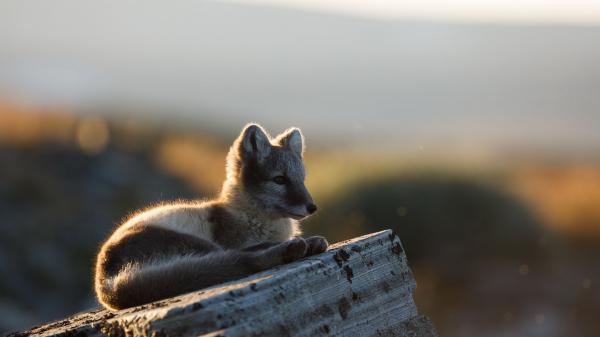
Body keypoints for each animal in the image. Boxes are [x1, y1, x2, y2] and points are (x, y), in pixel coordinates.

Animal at [94, 123, 328, 310]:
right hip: (198, 244)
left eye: (302, 180)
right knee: (242, 258)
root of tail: (104, 282)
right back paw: (291, 249)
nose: (312, 207)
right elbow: (252, 247)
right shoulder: (233, 240)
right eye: (279, 179)